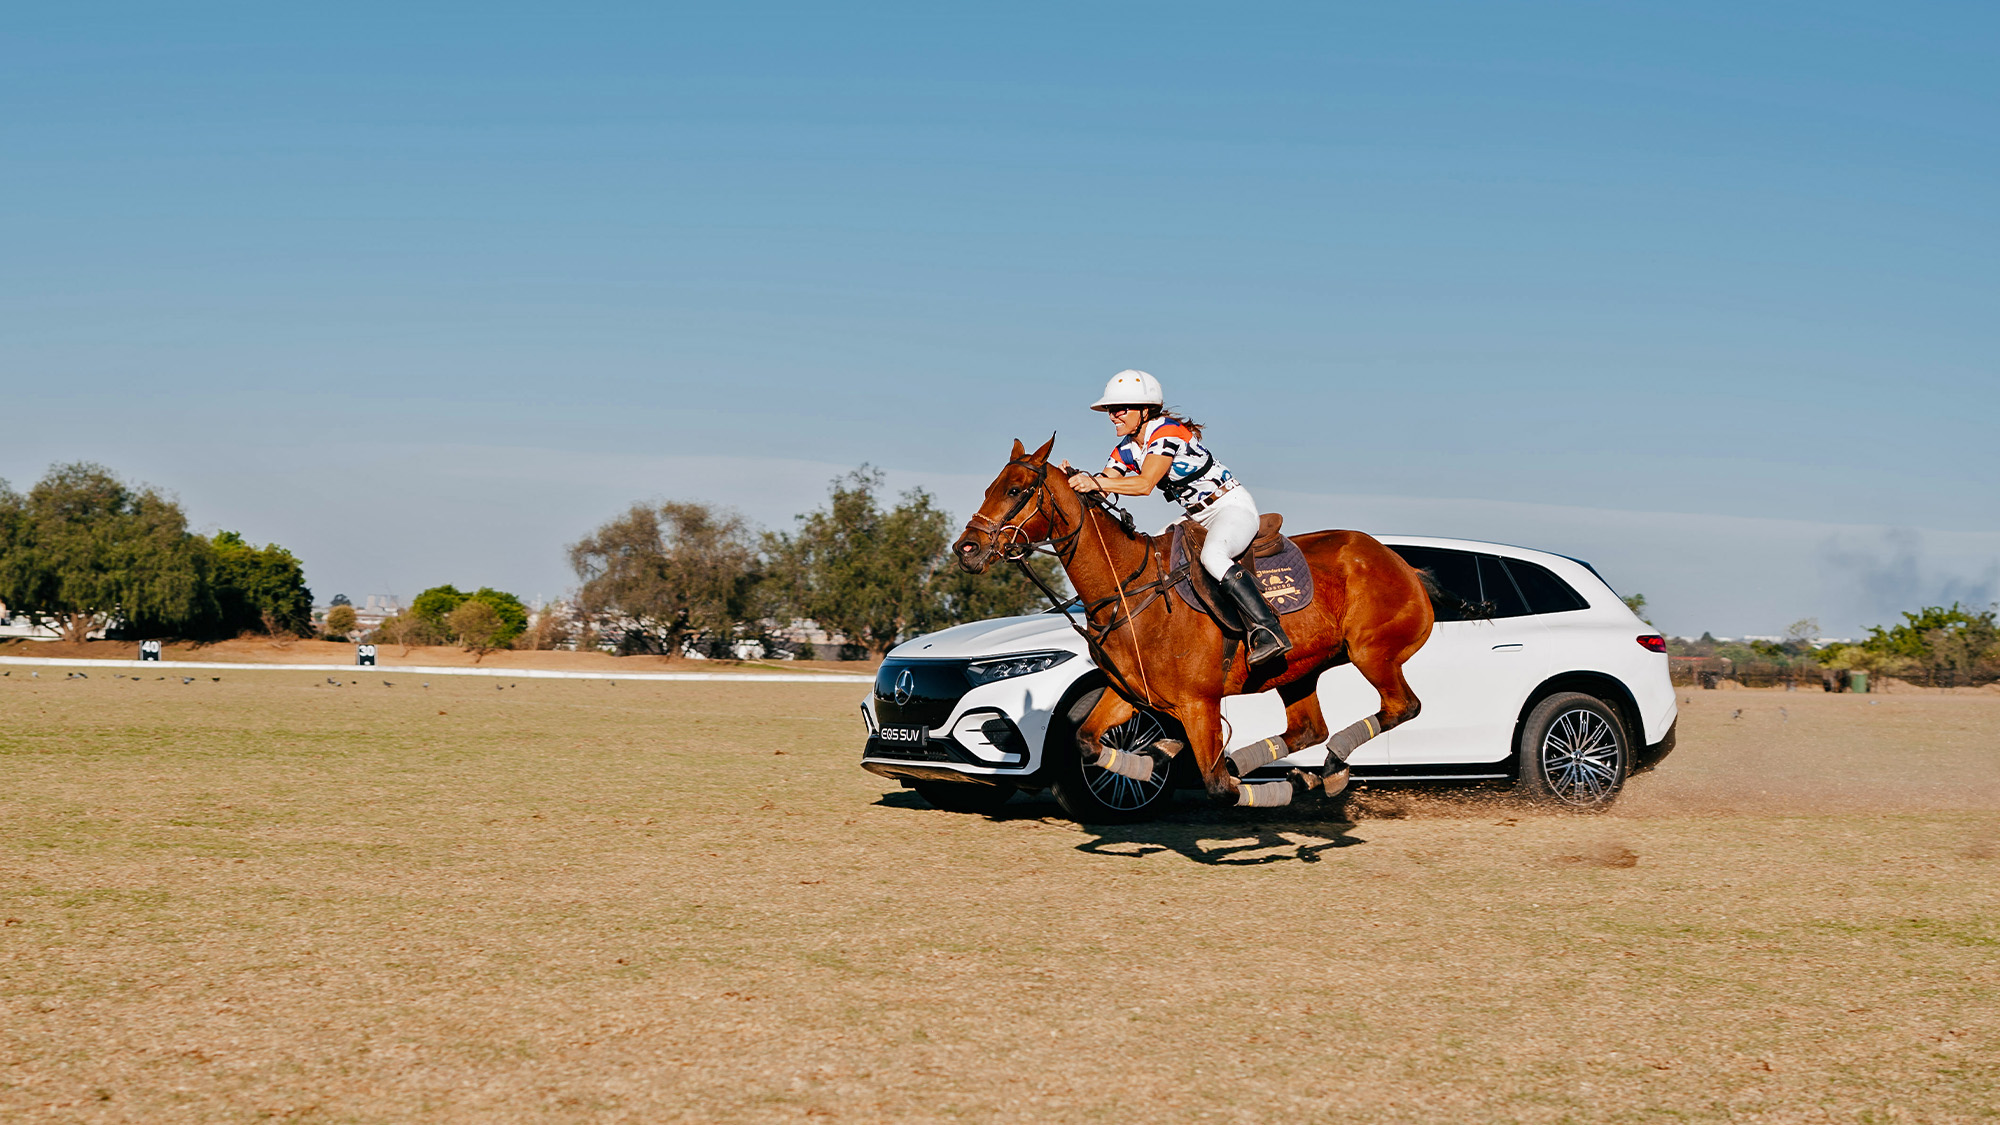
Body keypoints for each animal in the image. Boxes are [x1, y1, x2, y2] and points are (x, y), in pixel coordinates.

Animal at [956, 436, 1440, 804]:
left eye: (1016, 490)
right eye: (989, 487)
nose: (966, 549)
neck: (1127, 593)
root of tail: (1402, 565)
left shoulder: (1198, 704)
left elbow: (1220, 787)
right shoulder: (1129, 691)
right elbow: (1087, 742)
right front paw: (1154, 758)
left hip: (1372, 652)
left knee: (1402, 707)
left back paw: (1331, 763)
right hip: (1298, 670)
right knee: (1308, 729)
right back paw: (1306, 770)